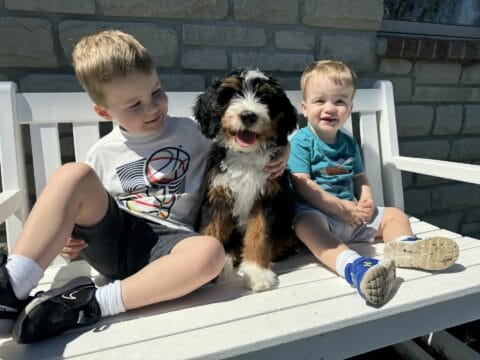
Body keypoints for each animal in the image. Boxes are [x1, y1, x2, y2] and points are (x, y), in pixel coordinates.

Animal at [193, 68, 298, 292]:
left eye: (265, 98)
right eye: (230, 95)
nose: (248, 115)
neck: (246, 157)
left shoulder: (267, 197)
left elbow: (259, 235)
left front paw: (258, 273)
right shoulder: (217, 196)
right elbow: (211, 230)